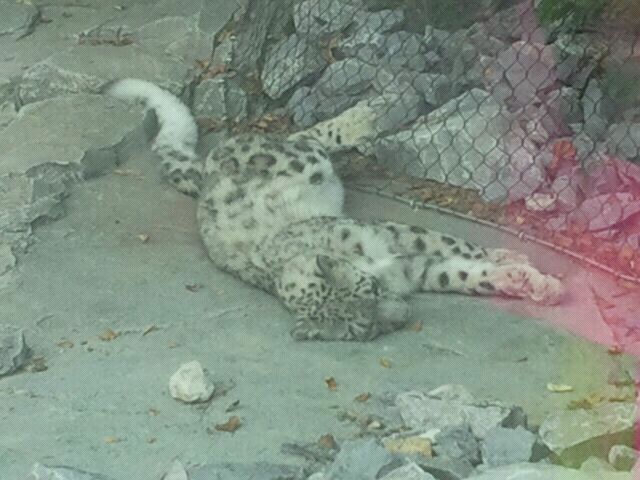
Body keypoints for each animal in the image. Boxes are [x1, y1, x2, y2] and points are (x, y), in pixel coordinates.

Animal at [104, 78, 563, 342]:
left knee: (308, 135)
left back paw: (368, 114)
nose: (401, 315)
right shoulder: (410, 267)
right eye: (361, 327)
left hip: (298, 158)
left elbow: (451, 243)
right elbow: (458, 273)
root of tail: (211, 168)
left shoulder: (389, 235)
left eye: (369, 292)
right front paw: (525, 279)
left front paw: (520, 263)